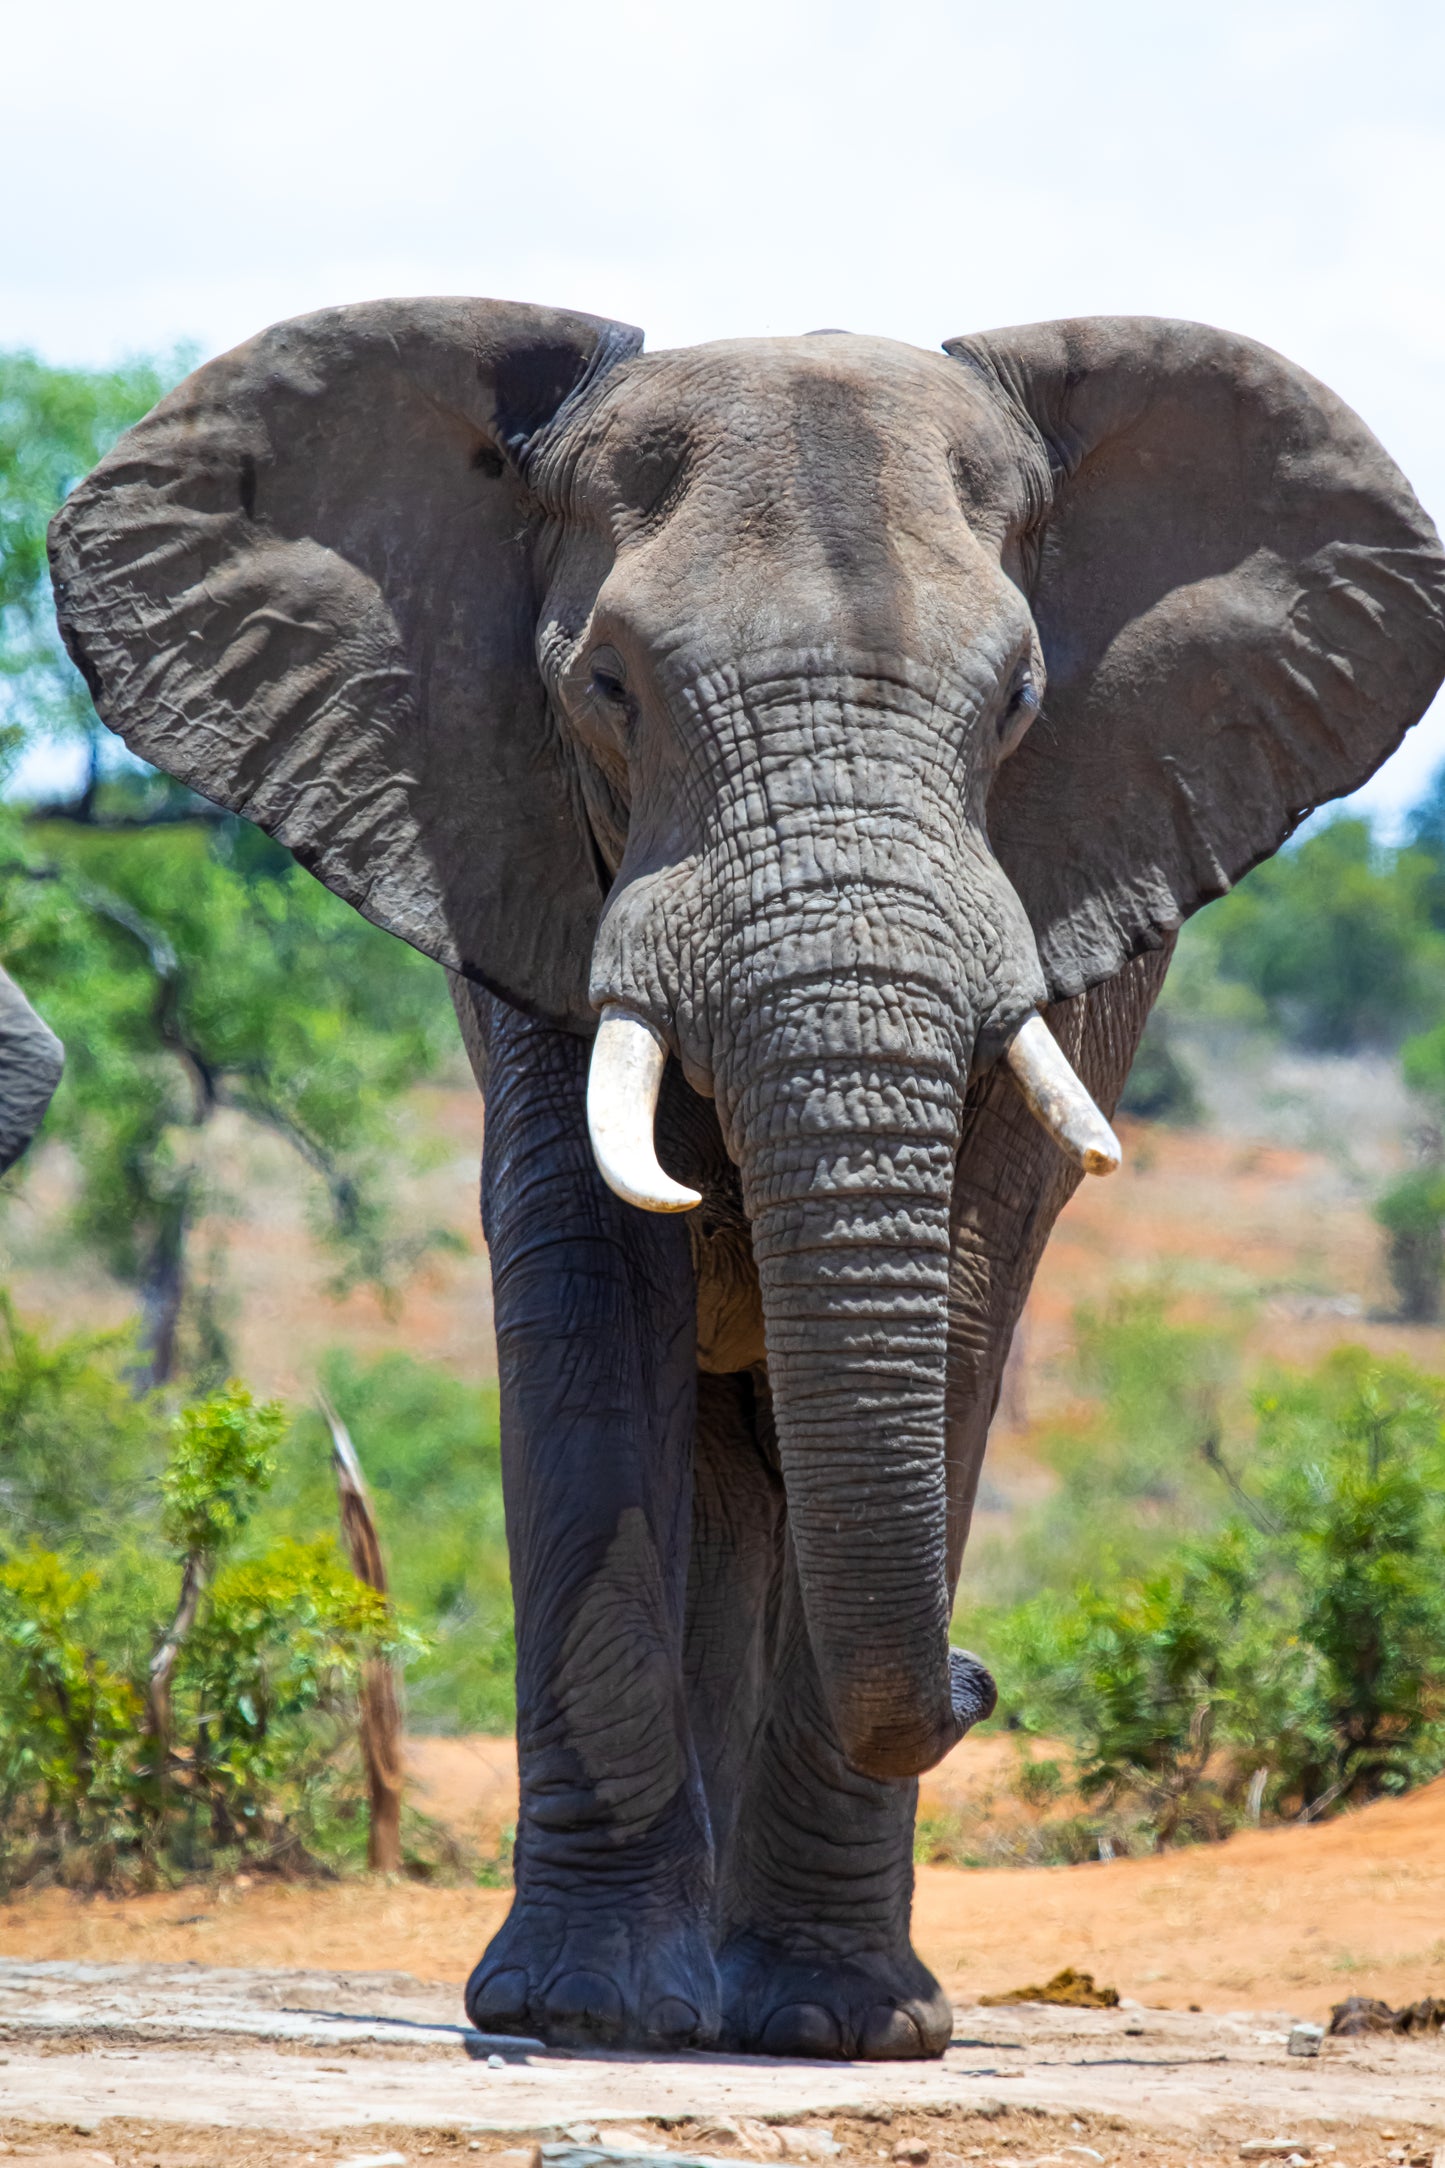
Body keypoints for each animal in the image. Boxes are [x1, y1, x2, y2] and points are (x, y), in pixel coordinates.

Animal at [49, 301, 1445, 2060]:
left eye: (1018, 701)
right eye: (609, 689)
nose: (982, 1676)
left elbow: (961, 1296)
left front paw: (847, 2028)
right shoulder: (514, 858)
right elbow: (589, 1298)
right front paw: (581, 2012)